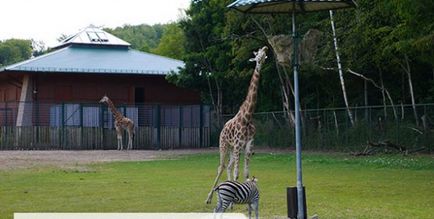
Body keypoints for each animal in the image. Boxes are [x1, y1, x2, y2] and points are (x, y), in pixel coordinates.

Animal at [204, 45, 268, 204]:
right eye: (257, 55)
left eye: (264, 56)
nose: (265, 48)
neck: (247, 117)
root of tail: (222, 129)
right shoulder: (239, 144)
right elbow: (237, 173)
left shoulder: (248, 145)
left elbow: (245, 173)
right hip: (224, 145)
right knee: (221, 166)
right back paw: (209, 198)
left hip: (233, 149)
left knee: (228, 166)